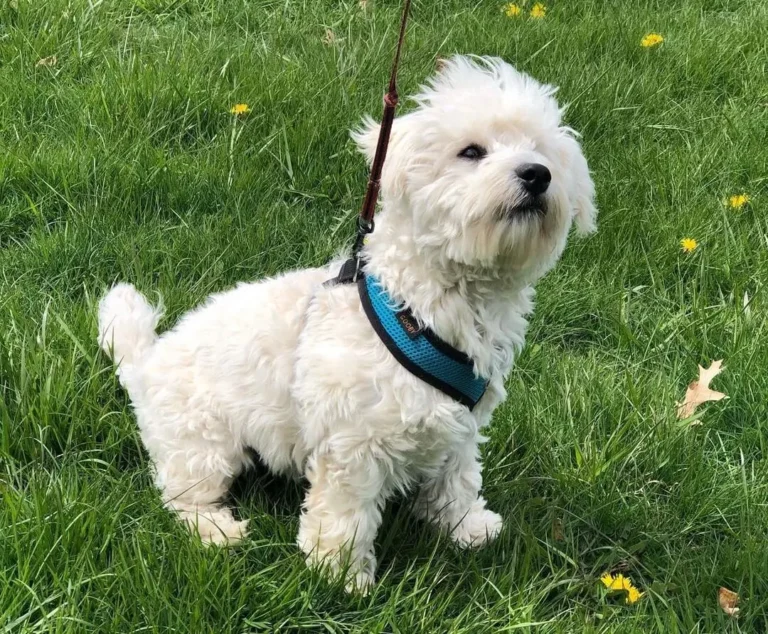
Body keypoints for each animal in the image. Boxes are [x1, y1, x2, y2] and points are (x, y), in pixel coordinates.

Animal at [97, 56, 592, 592]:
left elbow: (457, 479)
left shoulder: (460, 426)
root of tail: (145, 364)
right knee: (182, 496)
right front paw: (340, 576)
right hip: (203, 443)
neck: (428, 307)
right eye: (471, 152)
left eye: (540, 152)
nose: (537, 174)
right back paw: (216, 531)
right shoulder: (352, 444)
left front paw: (466, 528)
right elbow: (345, 514)